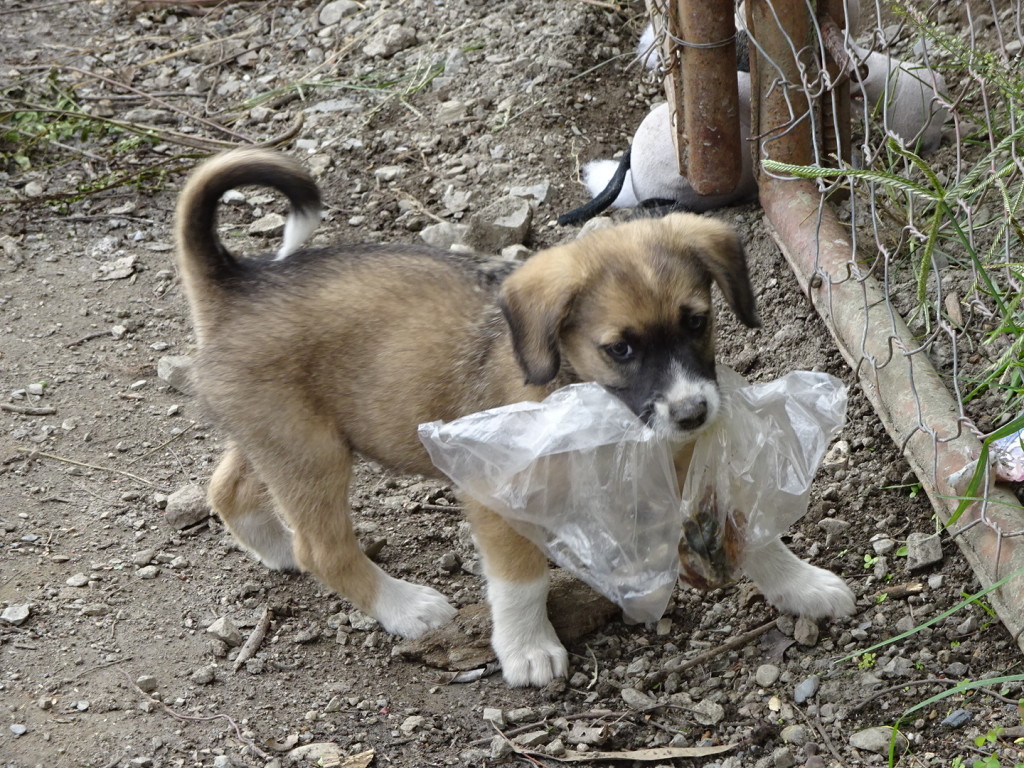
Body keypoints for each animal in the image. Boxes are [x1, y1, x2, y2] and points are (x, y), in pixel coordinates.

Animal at [176, 147, 856, 688]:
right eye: (621, 349)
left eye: (697, 322)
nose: (694, 413)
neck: (582, 392)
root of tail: (236, 285)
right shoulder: (496, 496)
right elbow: (521, 579)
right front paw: (529, 650)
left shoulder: (680, 453)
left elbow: (751, 530)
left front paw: (800, 585)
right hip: (311, 451)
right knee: (323, 547)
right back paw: (405, 607)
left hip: (282, 438)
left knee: (228, 488)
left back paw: (276, 548)